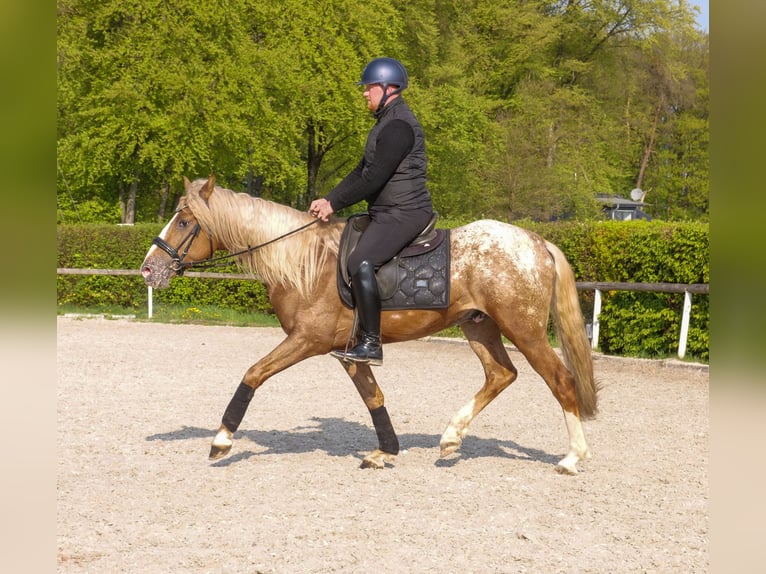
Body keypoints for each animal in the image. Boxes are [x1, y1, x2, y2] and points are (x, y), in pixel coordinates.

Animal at [141, 175, 599, 474]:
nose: (148, 269)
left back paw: (572, 457)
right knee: (501, 374)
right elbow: (373, 397)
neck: (304, 262)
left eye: (184, 222)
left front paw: (221, 439)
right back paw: (451, 437)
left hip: (524, 329)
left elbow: (253, 374)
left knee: (560, 379)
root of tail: (536, 242)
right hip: (479, 326)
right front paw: (386, 451)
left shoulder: (307, 340)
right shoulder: (347, 351)